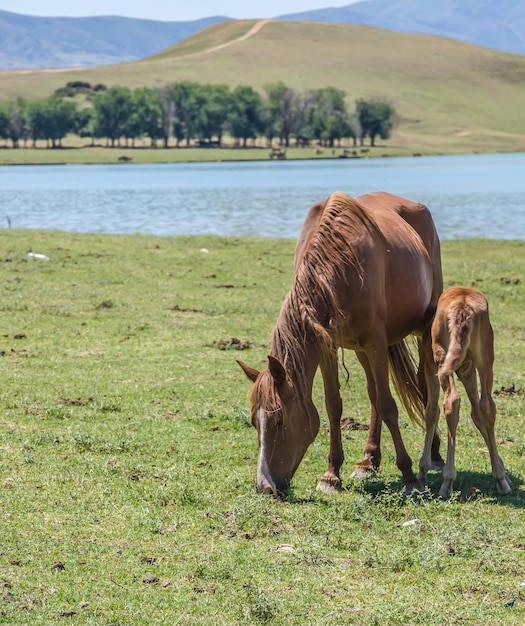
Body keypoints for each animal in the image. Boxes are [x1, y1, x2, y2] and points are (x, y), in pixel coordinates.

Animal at [239, 190, 444, 492]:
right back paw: (368, 461)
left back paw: (435, 455)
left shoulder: (376, 341)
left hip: (419, 334)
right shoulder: (327, 346)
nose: (265, 486)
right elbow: (334, 405)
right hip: (360, 349)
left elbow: (388, 405)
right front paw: (331, 474)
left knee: (423, 389)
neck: (338, 263)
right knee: (373, 394)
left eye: (278, 420)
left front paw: (408, 476)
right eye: (255, 421)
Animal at [418, 286, 512, 494]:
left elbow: (431, 411)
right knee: (487, 405)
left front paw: (422, 470)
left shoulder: (430, 367)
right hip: (485, 359)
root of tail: (463, 304)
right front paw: (502, 471)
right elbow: (477, 412)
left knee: (451, 402)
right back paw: (500, 480)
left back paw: (447, 482)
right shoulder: (467, 369)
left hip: (442, 360)